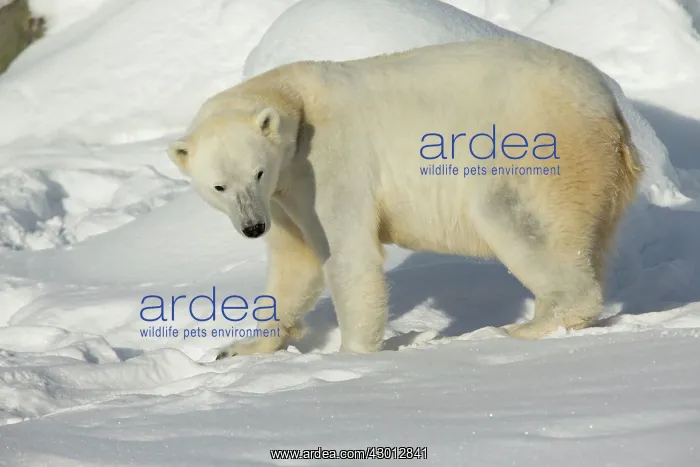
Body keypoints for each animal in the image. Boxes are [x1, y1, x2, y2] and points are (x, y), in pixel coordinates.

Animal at [167, 38, 643, 360]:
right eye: (219, 187)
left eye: (257, 172)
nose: (252, 227)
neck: (297, 104)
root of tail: (612, 113)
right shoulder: (285, 197)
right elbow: (295, 264)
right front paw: (238, 349)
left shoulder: (332, 164)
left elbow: (348, 256)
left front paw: (352, 355)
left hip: (539, 154)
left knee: (513, 218)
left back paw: (523, 328)